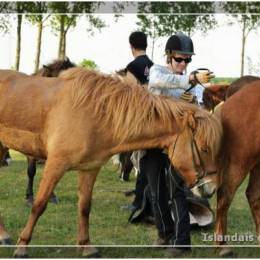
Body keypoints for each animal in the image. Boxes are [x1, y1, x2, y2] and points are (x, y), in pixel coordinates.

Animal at [0, 68, 221, 256]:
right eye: (204, 148)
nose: (211, 188)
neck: (97, 113)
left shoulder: (90, 168)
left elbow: (84, 207)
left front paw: (87, 247)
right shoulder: (55, 164)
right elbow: (39, 204)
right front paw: (22, 247)